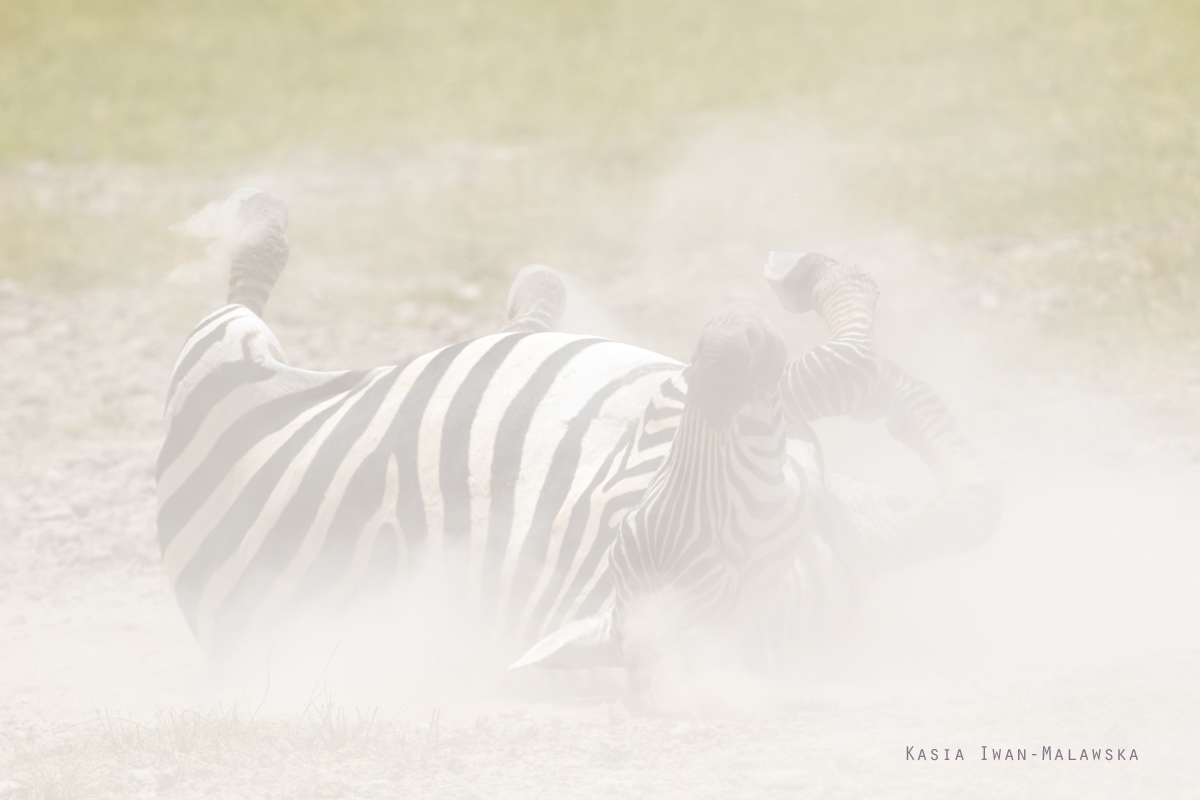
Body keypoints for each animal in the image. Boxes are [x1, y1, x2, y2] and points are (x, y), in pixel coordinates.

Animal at [159, 188, 1003, 681]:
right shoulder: (684, 412)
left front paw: (898, 395)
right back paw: (260, 215)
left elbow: (971, 507)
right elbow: (837, 373)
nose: (728, 342)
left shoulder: (847, 519)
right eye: (630, 531)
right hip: (217, 352)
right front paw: (858, 340)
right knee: (246, 284)